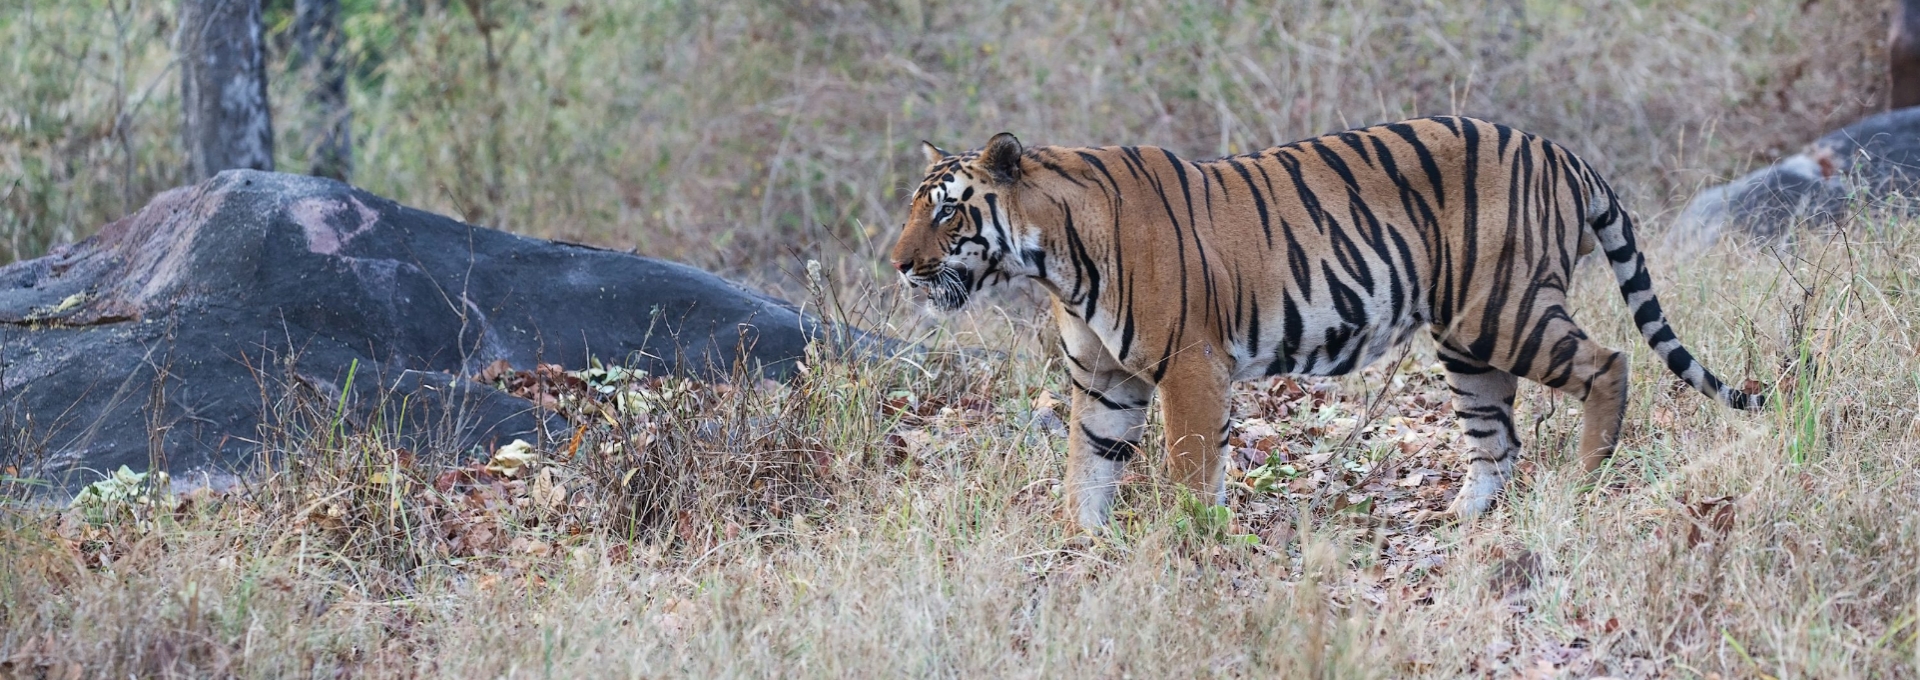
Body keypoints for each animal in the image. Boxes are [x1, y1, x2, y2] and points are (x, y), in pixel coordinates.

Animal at [890, 116, 1758, 530]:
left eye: (947, 211)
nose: (896, 264)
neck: (1055, 262)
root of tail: (1564, 153)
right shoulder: (1107, 380)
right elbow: (1089, 467)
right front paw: (1085, 542)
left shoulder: (1189, 365)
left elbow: (1188, 467)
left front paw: (1192, 542)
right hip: (1465, 340)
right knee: (1497, 435)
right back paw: (1466, 520)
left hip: (1503, 311)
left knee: (1609, 363)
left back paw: (1584, 484)